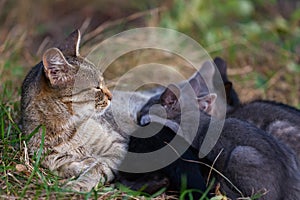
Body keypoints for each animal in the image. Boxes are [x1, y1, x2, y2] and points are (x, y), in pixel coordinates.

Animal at [19, 29, 127, 191]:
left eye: (103, 82)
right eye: (97, 87)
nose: (111, 96)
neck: (64, 130)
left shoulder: (117, 146)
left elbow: (97, 169)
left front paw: (80, 184)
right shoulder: (52, 160)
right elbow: (67, 166)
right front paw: (83, 165)